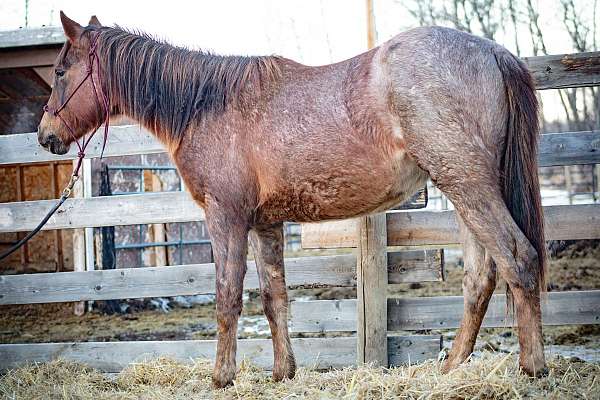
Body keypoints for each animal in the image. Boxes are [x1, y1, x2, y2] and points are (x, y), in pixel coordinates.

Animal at [35, 11, 548, 388]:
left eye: (60, 71)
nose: (45, 136)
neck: (207, 105)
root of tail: (494, 51)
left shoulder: (226, 217)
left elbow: (227, 296)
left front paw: (221, 377)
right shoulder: (265, 223)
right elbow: (273, 297)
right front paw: (283, 372)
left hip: (468, 185)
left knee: (518, 258)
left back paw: (533, 367)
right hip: (464, 191)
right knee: (481, 277)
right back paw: (451, 369)